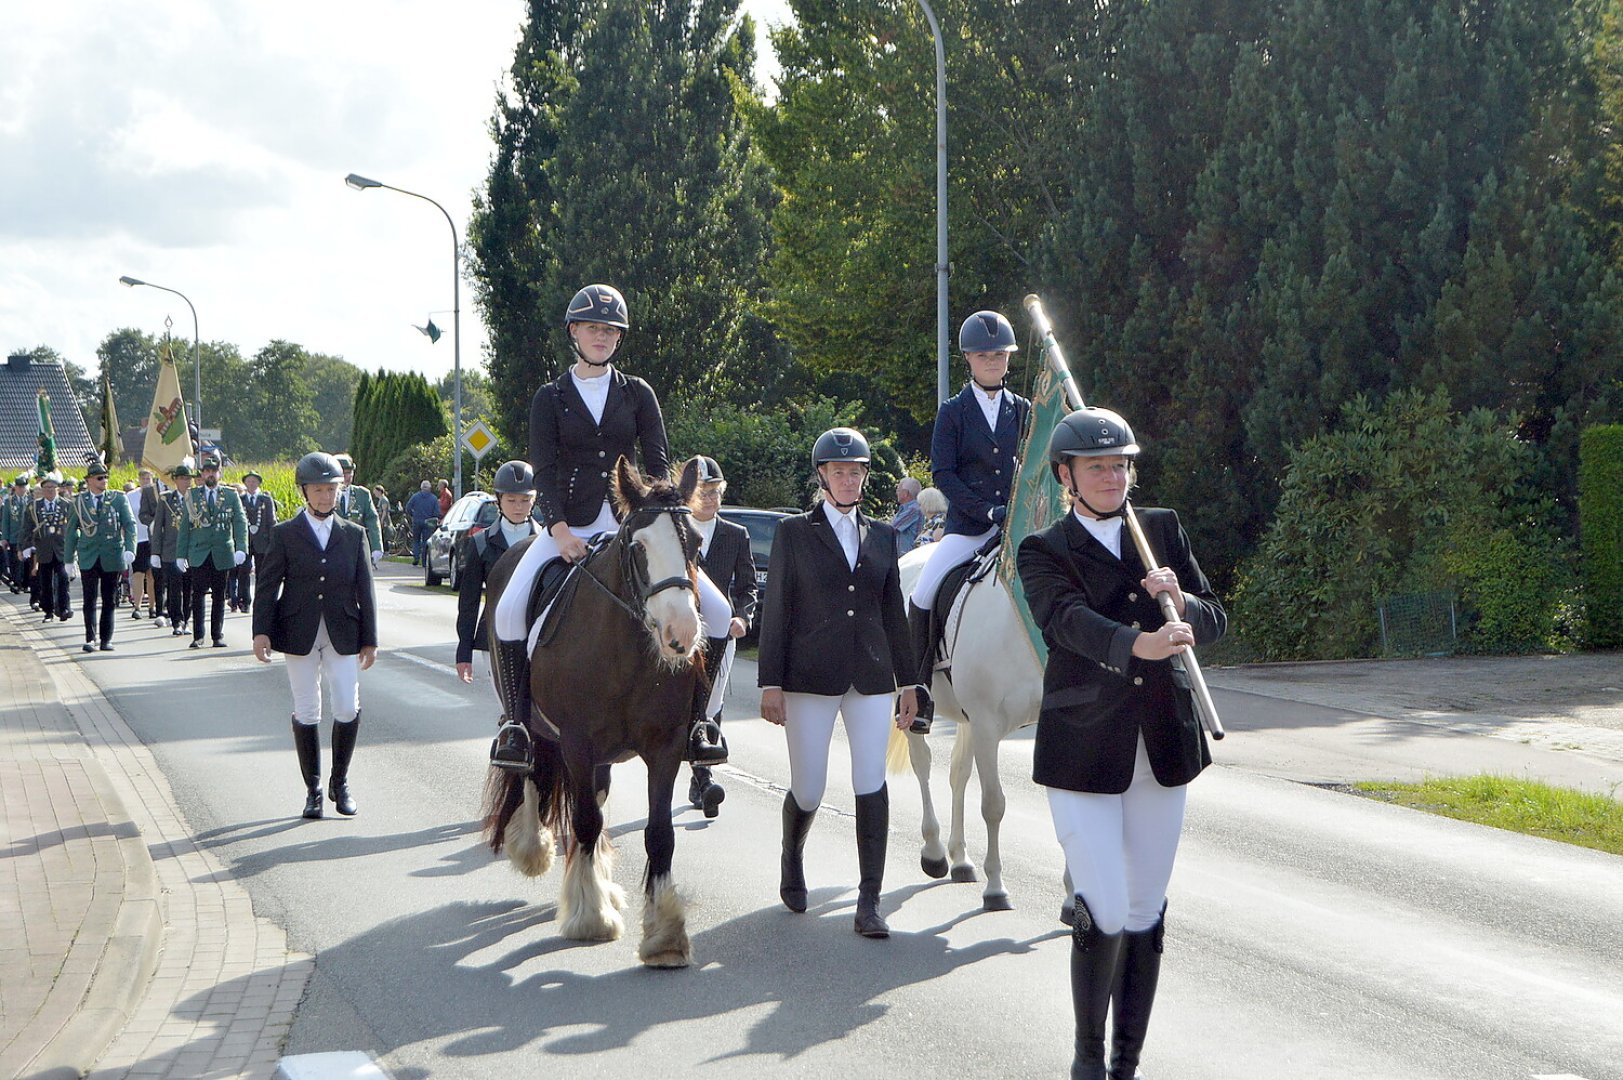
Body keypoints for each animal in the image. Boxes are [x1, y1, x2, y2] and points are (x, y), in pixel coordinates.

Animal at [483, 454, 707, 967]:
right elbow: (584, 820)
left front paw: (665, 935)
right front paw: (591, 919)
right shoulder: (577, 743)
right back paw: (534, 849)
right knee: (532, 771)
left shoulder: (665, 747)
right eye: (639, 546)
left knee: (599, 799)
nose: (682, 633)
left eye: (698, 543)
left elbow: (659, 833)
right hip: (534, 725)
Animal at [889, 542, 1038, 902]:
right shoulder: (986, 724)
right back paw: (934, 852)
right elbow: (993, 804)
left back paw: (960, 860)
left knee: (958, 774)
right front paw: (996, 887)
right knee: (923, 764)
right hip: (910, 705)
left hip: (967, 720)